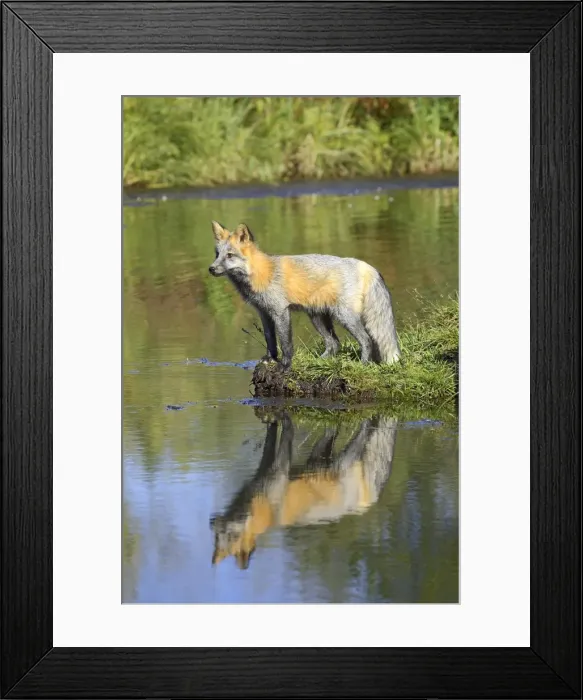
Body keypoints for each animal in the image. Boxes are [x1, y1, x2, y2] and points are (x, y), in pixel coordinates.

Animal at [208, 220, 401, 368]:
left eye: (230, 255)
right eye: (217, 254)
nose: (211, 269)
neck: (260, 273)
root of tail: (366, 266)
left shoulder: (280, 311)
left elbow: (286, 343)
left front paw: (285, 365)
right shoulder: (264, 312)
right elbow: (270, 339)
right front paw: (270, 359)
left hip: (344, 316)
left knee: (366, 340)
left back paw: (363, 365)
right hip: (317, 316)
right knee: (334, 344)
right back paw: (320, 362)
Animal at [210, 410, 398, 569]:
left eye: (232, 536)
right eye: (218, 538)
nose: (212, 523)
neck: (263, 508)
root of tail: (367, 503)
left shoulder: (280, 470)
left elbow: (287, 431)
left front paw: (282, 414)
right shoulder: (264, 470)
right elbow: (270, 438)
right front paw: (270, 419)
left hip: (346, 459)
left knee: (364, 428)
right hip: (318, 458)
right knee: (332, 429)